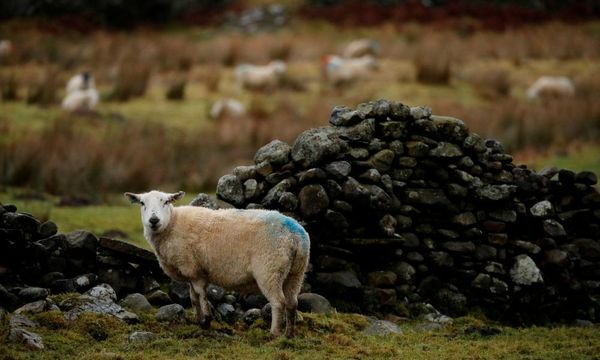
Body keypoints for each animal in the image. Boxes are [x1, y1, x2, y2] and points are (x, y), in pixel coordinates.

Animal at [122, 191, 310, 338]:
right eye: (142, 203)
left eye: (167, 201)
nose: (153, 220)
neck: (172, 224)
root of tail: (296, 235)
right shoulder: (191, 273)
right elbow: (193, 298)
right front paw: (198, 320)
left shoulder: (194, 270)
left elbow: (201, 295)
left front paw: (206, 321)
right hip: (296, 272)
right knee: (292, 303)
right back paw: (289, 335)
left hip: (269, 269)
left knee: (278, 302)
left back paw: (274, 334)